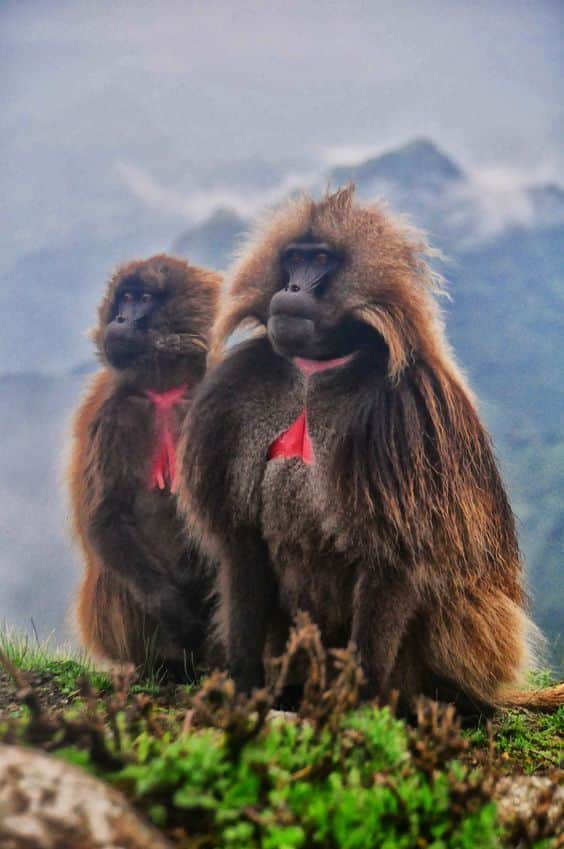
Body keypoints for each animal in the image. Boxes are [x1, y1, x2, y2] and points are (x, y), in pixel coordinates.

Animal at [69, 255, 222, 678]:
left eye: (144, 298)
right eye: (125, 297)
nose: (121, 319)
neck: (165, 389)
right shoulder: (112, 414)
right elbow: (104, 517)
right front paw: (172, 607)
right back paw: (163, 665)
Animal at [177, 187, 563, 714]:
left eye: (321, 260)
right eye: (293, 257)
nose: (292, 288)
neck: (314, 370)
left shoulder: (407, 412)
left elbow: (394, 557)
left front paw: (355, 704)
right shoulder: (235, 396)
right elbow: (243, 543)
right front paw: (244, 687)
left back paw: (444, 703)